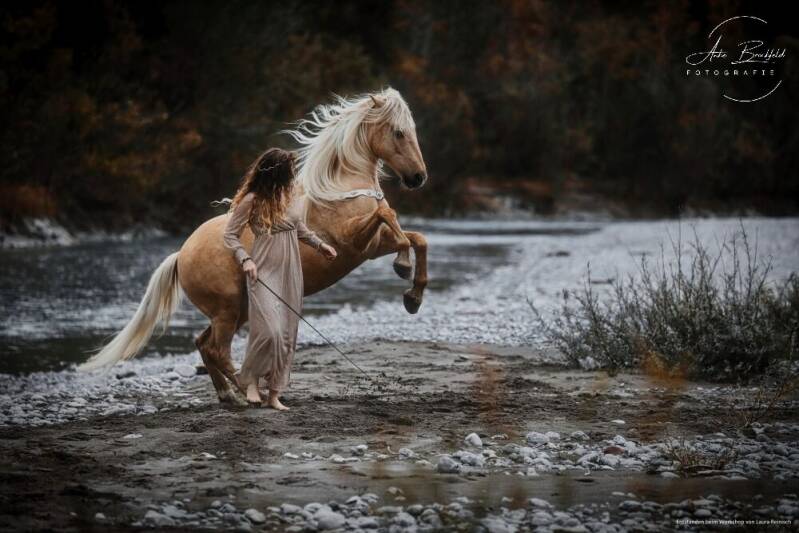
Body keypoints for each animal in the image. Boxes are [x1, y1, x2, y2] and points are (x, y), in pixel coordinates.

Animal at [79, 88, 429, 404]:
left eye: (413, 130)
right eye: (399, 132)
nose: (418, 177)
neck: (339, 188)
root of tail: (181, 255)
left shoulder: (371, 247)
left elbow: (416, 238)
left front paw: (413, 296)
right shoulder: (355, 241)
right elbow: (390, 218)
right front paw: (403, 267)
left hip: (237, 310)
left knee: (203, 343)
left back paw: (228, 394)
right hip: (228, 310)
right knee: (216, 349)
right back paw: (248, 393)